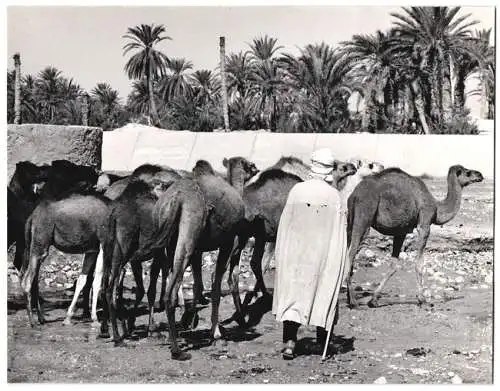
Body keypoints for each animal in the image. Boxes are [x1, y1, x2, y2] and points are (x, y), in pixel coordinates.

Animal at [346, 164, 482, 308]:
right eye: (468, 173)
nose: (480, 175)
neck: (437, 207)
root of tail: (355, 194)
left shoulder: (401, 231)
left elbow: (393, 265)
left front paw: (374, 300)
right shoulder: (424, 223)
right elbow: (419, 264)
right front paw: (422, 299)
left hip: (350, 219)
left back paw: (349, 298)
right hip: (364, 215)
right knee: (350, 254)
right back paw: (353, 302)